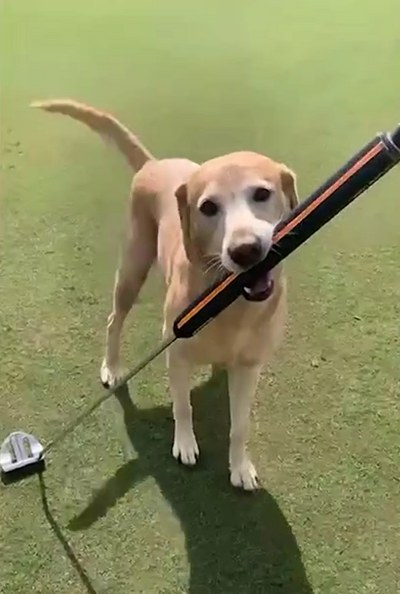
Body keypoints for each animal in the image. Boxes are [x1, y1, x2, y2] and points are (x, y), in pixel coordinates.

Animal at [32, 99, 298, 490]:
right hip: (132, 269)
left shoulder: (250, 367)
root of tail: (153, 163)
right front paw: (185, 444)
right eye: (208, 207)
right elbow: (183, 406)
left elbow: (240, 426)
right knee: (114, 320)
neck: (229, 301)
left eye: (262, 194)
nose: (245, 250)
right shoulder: (176, 355)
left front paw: (239, 466)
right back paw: (112, 367)